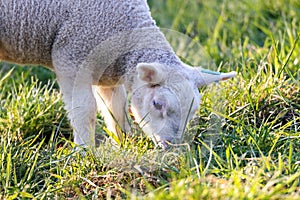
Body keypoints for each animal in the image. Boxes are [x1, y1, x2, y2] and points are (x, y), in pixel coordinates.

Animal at [0, 0, 237, 147]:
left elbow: (116, 109)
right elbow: (85, 111)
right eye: (157, 104)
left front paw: (123, 142)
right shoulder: (72, 61)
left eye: (193, 111)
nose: (172, 146)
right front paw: (84, 152)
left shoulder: (107, 76)